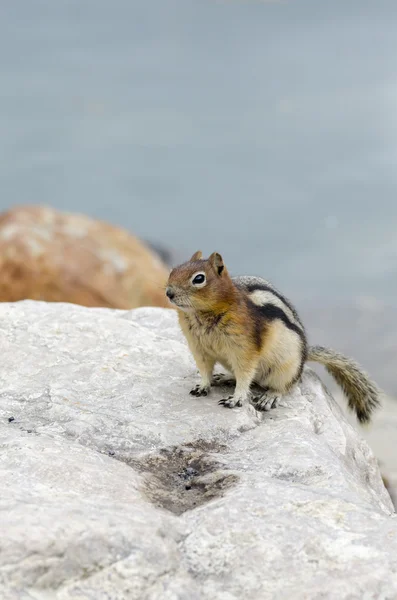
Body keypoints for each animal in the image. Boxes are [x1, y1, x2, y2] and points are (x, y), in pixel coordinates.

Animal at [165, 248, 380, 422]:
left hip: (285, 368)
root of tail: (304, 356)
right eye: (173, 270)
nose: (168, 293)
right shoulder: (198, 348)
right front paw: (203, 385)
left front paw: (237, 398)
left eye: (198, 279)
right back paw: (224, 377)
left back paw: (270, 396)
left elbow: (245, 375)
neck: (203, 314)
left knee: (285, 386)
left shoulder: (244, 348)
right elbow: (204, 370)